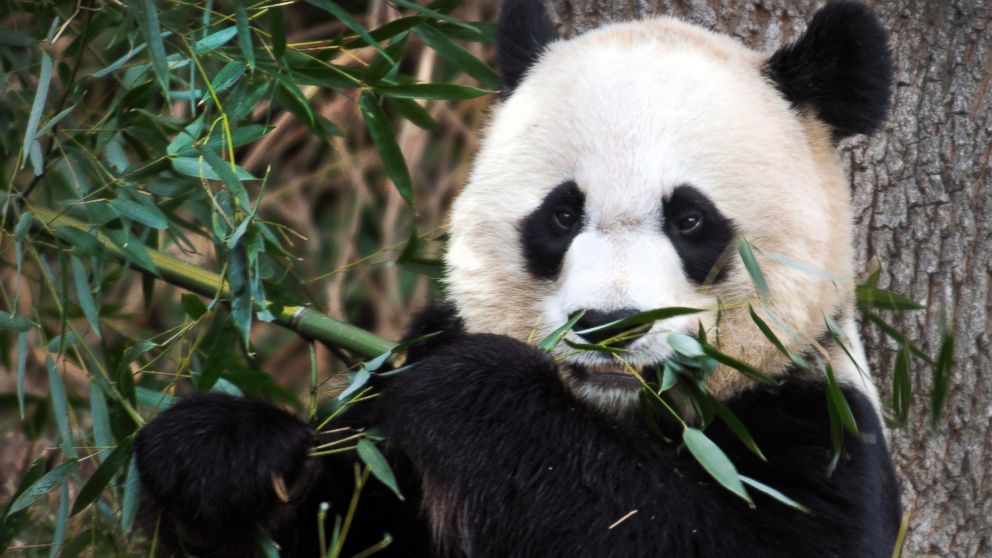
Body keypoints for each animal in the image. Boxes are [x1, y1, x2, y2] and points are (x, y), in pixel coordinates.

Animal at [136, 0, 904, 556]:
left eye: (690, 220)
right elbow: (330, 515)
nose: (609, 325)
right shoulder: (396, 431)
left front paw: (474, 390)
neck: (609, 414)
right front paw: (227, 457)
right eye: (562, 214)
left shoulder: (814, 422)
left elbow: (680, 533)